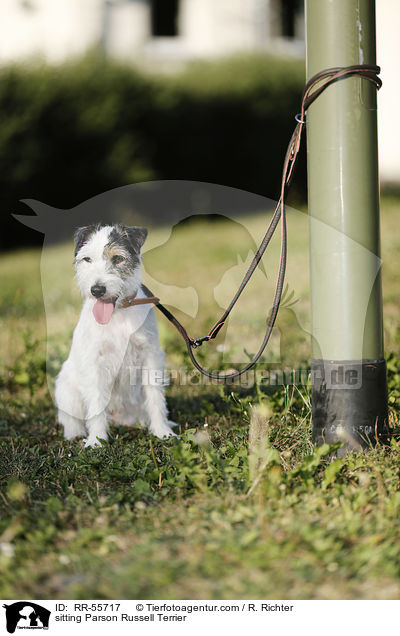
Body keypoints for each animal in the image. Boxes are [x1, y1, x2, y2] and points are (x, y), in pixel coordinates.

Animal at [54, 224, 177, 448]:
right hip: (66, 390)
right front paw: (96, 440)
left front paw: (163, 432)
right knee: (70, 417)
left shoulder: (150, 356)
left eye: (117, 258)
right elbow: (95, 405)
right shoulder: (95, 362)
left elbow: (155, 397)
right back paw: (75, 433)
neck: (118, 314)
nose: (97, 290)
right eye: (87, 259)